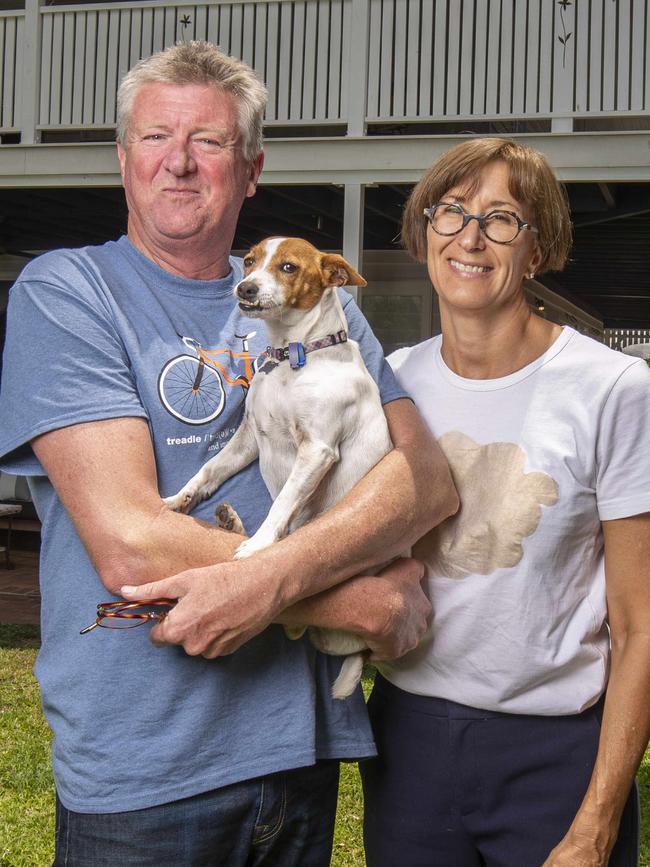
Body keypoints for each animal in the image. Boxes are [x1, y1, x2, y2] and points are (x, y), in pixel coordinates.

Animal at [165, 237, 392, 700]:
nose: (245, 289)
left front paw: (258, 547)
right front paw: (182, 497)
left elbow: (283, 502)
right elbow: (210, 470)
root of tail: (362, 652)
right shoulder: (250, 439)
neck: (292, 356)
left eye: (288, 267)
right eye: (249, 262)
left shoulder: (317, 450)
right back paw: (230, 522)